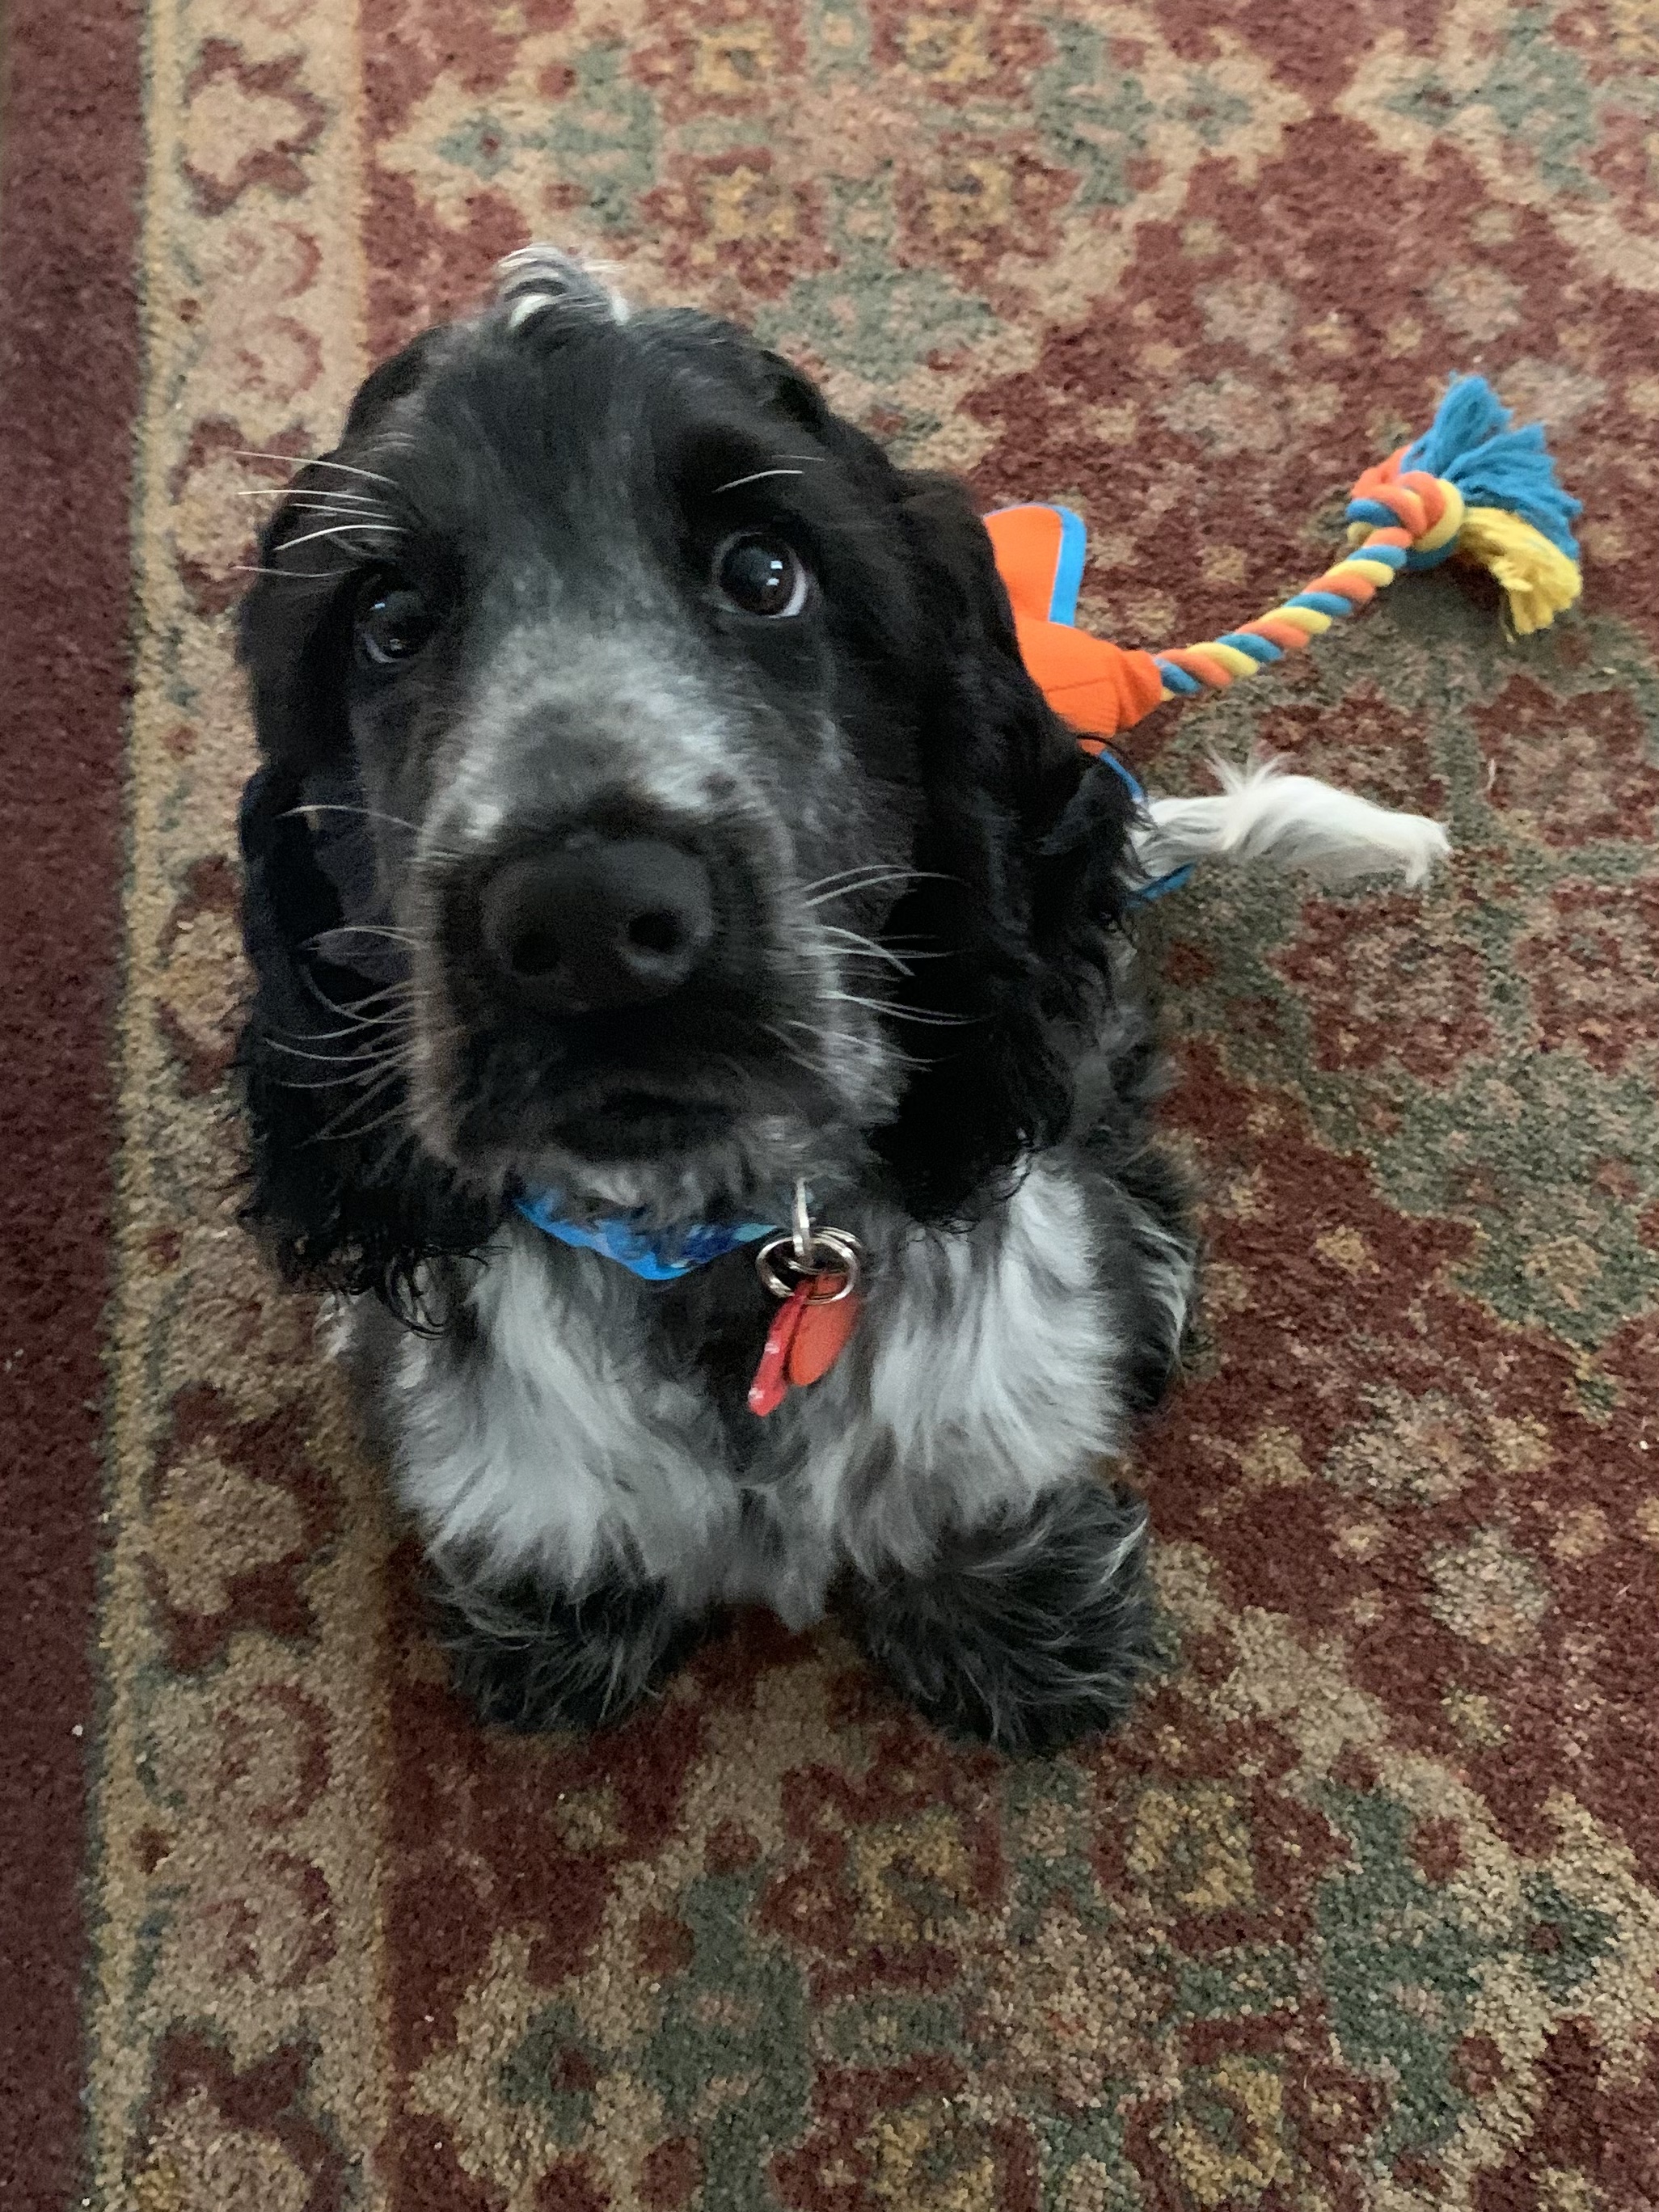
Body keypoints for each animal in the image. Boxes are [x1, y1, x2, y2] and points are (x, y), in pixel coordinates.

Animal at [234, 247, 1446, 1751]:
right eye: (386, 622)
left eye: (767, 573)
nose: (587, 919)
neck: (715, 1242)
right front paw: (563, 1626)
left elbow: (985, 1469)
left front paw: (1019, 1631)